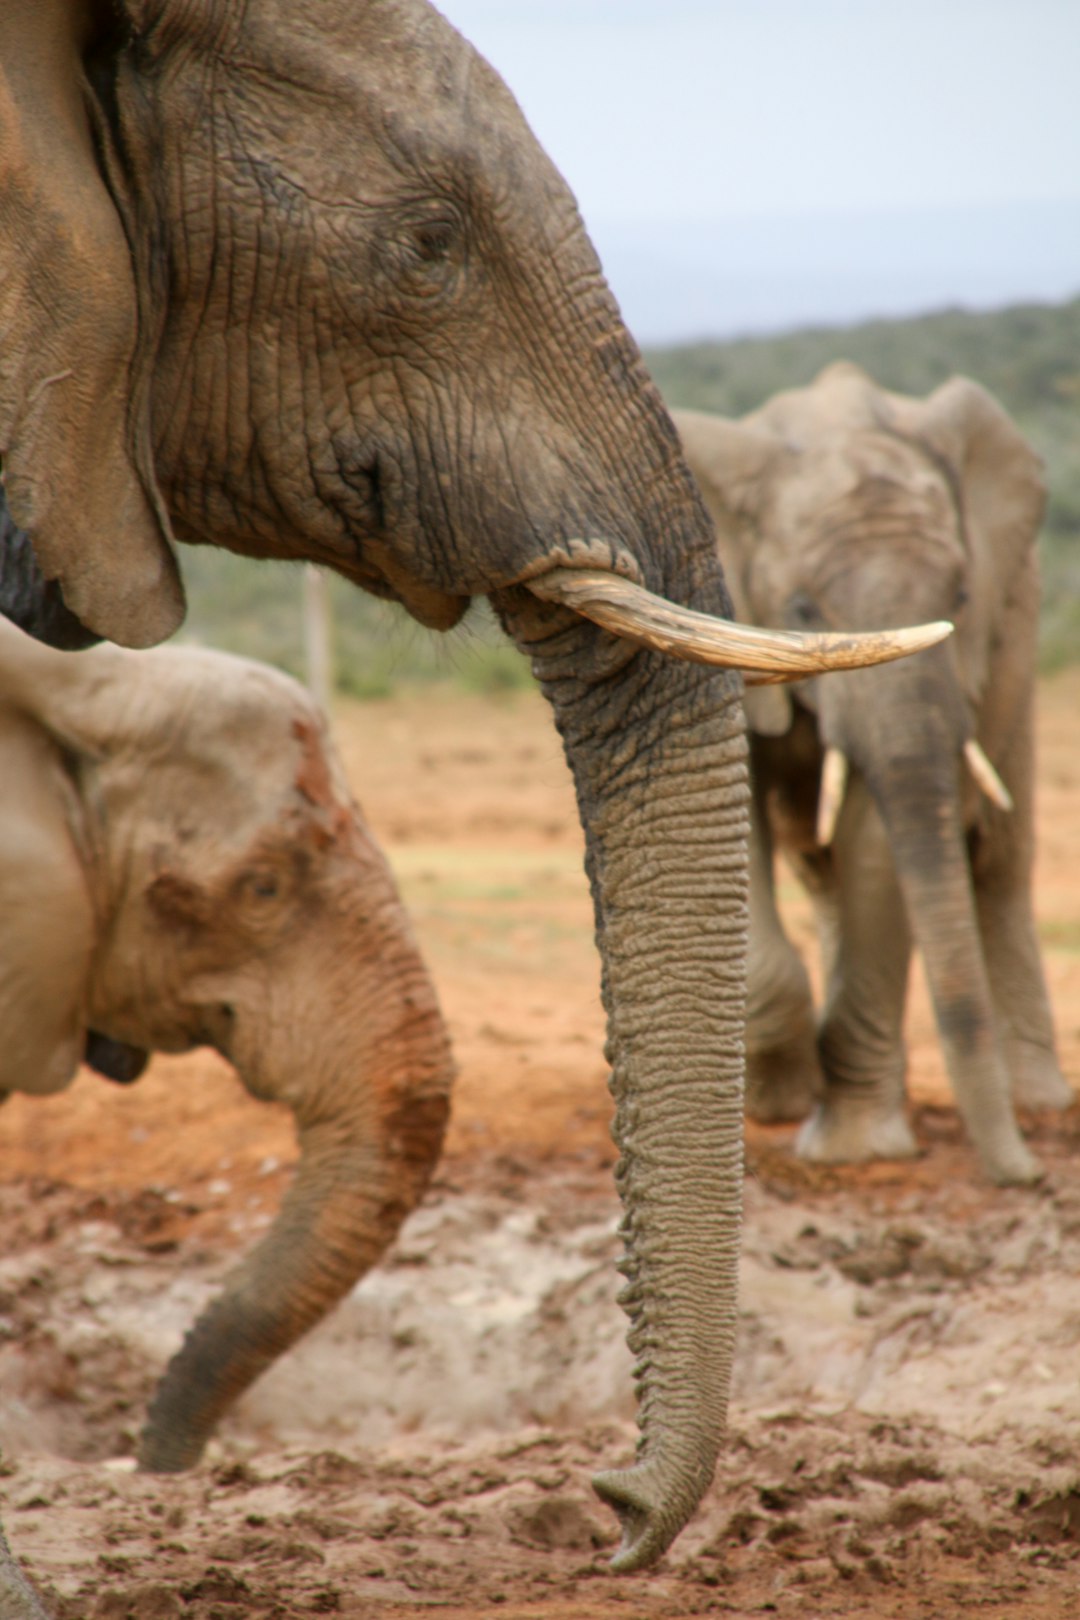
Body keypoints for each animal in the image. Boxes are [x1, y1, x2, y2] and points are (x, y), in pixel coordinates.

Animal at [676, 361, 1075, 1185]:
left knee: (998, 860)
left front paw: (852, 1148)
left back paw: (1037, 1101)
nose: (1029, 1176)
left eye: (960, 597)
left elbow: (876, 839)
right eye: (800, 607)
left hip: (1018, 629)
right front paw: (779, 1097)